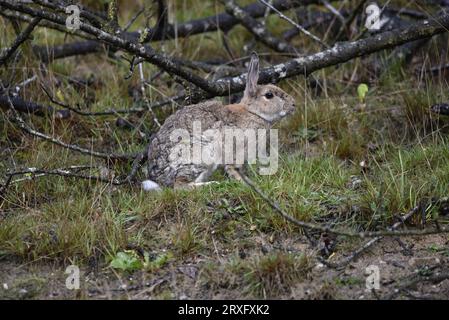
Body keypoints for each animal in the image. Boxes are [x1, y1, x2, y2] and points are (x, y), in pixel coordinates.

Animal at [144, 52, 296, 190]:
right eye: (269, 95)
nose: (293, 104)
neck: (253, 113)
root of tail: (159, 179)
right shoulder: (235, 150)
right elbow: (233, 169)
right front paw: (244, 183)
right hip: (200, 155)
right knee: (180, 185)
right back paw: (212, 184)